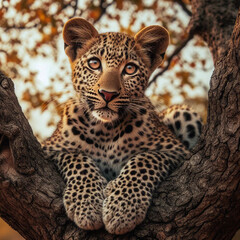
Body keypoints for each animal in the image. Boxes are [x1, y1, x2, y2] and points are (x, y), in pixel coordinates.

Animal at [42, 17, 202, 235]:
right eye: (94, 64)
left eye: (130, 69)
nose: (107, 94)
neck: (105, 130)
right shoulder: (49, 148)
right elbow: (76, 157)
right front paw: (86, 205)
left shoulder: (176, 151)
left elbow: (145, 159)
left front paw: (122, 209)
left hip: (184, 114)